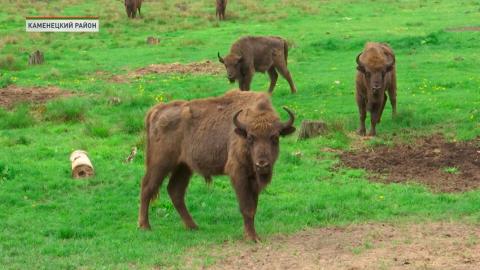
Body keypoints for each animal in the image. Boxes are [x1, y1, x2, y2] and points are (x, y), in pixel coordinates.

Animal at [137, 89, 296, 242]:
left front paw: (253, 235)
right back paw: (145, 226)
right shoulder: (238, 174)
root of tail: (156, 110)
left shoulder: (253, 180)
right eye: (251, 137)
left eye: (275, 137)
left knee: (175, 191)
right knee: (147, 187)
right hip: (159, 164)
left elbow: (253, 207)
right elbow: (246, 207)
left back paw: (193, 226)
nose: (262, 164)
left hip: (183, 167)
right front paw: (251, 237)